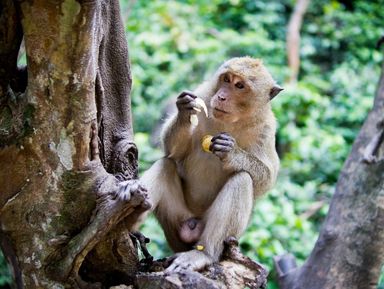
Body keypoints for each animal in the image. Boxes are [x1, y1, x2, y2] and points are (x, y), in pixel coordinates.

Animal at [141, 56, 282, 270]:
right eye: (226, 79)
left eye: (239, 86)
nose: (222, 96)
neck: (234, 120)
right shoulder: (203, 94)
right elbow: (173, 152)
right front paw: (184, 109)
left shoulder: (267, 129)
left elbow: (266, 179)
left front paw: (231, 152)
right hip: (177, 222)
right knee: (164, 165)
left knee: (242, 178)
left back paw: (205, 253)